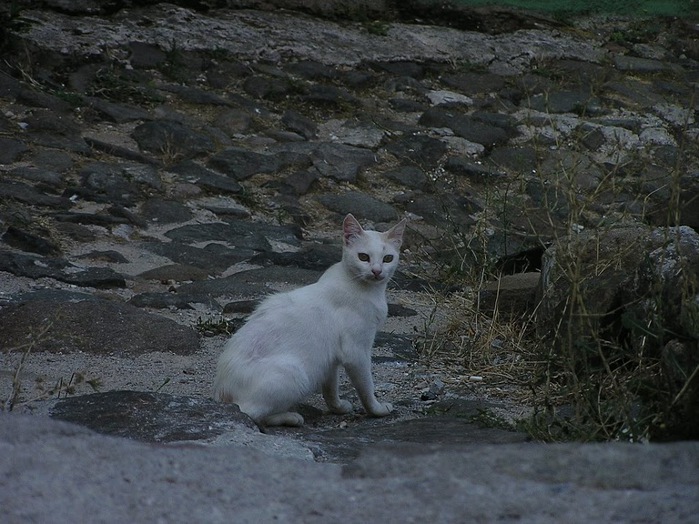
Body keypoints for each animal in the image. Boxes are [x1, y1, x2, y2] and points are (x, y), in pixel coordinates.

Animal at [216, 213, 408, 426]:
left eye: (388, 258)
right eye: (363, 257)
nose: (376, 271)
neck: (367, 290)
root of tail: (222, 394)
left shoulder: (330, 361)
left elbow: (330, 389)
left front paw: (338, 408)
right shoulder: (356, 352)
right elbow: (366, 388)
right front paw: (377, 410)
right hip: (295, 374)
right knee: (251, 413)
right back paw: (291, 417)